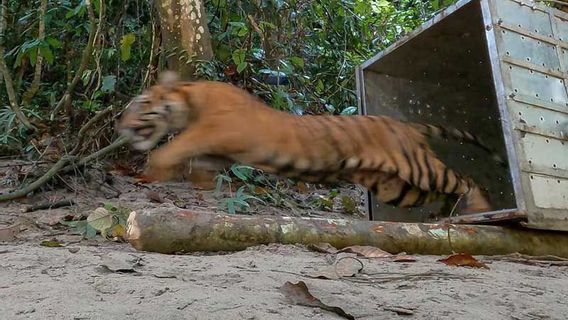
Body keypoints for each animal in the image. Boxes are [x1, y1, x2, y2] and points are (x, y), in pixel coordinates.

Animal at [116, 71, 506, 214]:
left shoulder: (215, 129)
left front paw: (151, 170)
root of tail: (405, 125)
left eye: (141, 103)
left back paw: (480, 208)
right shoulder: (215, 153)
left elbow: (174, 146)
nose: (120, 124)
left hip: (417, 167)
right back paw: (446, 216)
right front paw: (189, 181)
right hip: (397, 186)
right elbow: (196, 165)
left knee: (464, 179)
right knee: (446, 189)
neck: (188, 100)